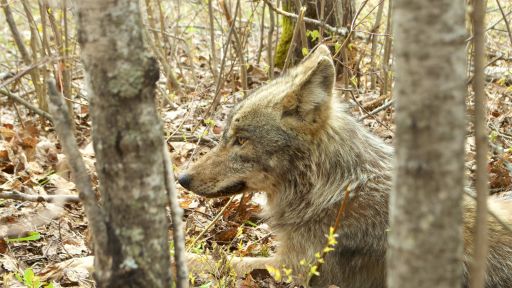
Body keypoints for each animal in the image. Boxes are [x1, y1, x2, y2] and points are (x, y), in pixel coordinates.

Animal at [179, 45, 512, 288]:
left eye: (241, 140)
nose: (181, 178)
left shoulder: (290, 269)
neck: (333, 189)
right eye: (227, 136)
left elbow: (213, 261)